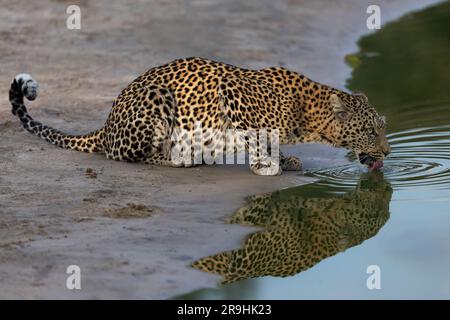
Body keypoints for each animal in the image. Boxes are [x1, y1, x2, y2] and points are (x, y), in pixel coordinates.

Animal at [9, 56, 390, 174]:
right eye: (372, 131)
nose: (387, 152)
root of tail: (106, 125)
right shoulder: (232, 92)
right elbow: (256, 136)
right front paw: (266, 164)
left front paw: (285, 159)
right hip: (157, 98)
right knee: (130, 156)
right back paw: (182, 158)